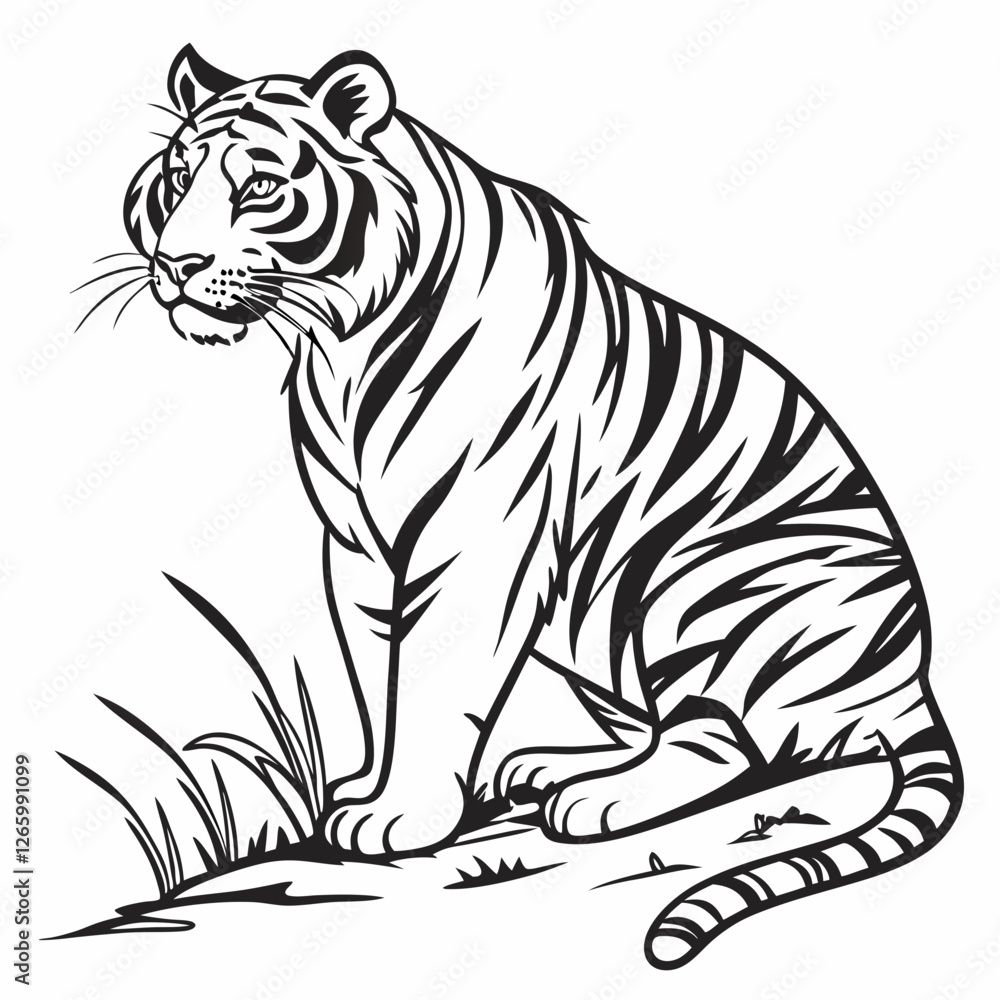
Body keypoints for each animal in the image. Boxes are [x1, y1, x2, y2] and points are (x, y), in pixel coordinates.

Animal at [117, 45, 962, 969]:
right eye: (177, 180)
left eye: (261, 185)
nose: (176, 265)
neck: (342, 347)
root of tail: (910, 677)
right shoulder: (359, 549)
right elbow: (376, 677)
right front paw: (367, 786)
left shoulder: (472, 544)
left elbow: (435, 680)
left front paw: (401, 815)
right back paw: (548, 768)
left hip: (700, 574)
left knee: (733, 744)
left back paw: (596, 801)